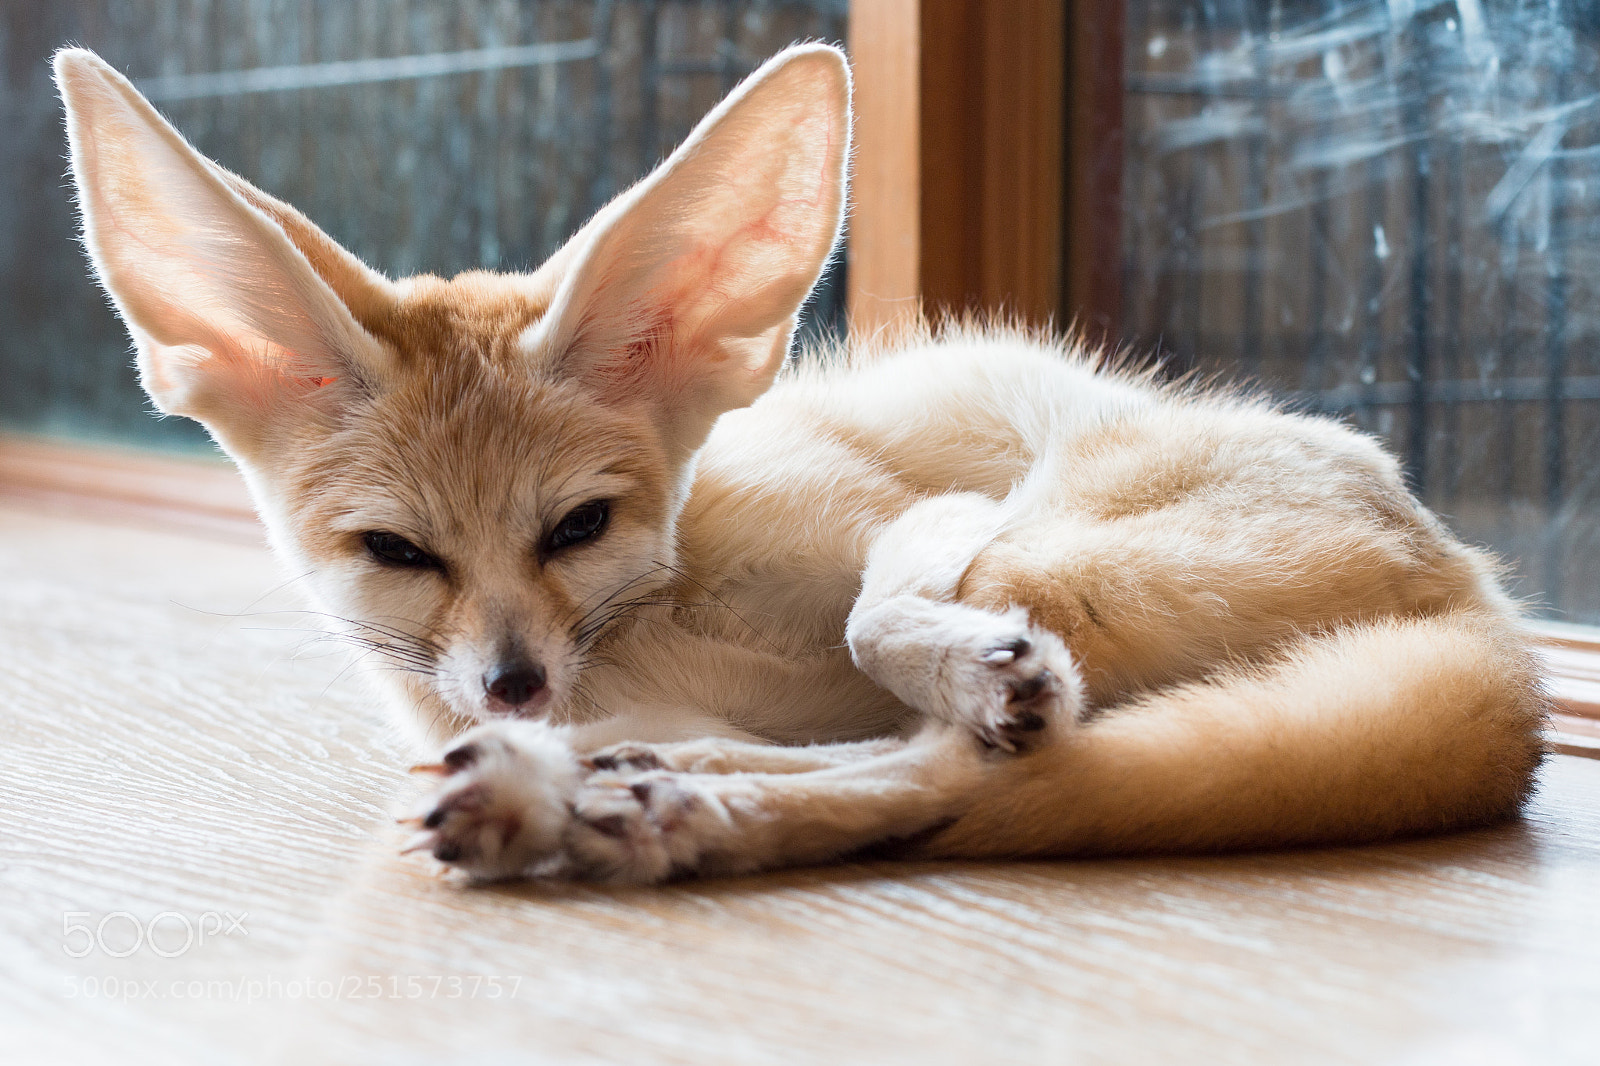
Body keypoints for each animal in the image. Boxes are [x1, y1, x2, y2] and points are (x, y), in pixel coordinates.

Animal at [54, 42, 1547, 884]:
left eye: (579, 526)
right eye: (396, 553)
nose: (514, 682)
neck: (650, 641)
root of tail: (1492, 606)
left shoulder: (919, 518)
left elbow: (878, 616)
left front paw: (956, 659)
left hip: (1056, 538)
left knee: (965, 760)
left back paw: (655, 796)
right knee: (935, 774)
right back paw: (623, 803)